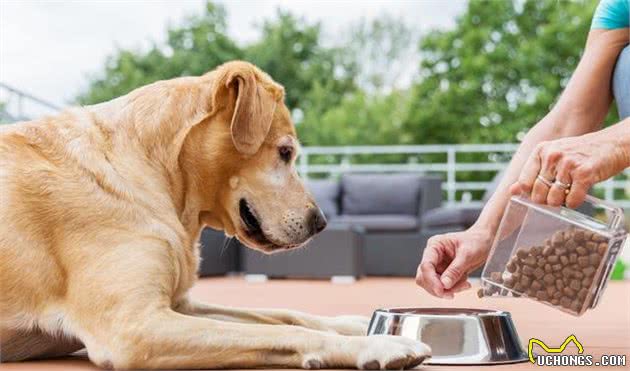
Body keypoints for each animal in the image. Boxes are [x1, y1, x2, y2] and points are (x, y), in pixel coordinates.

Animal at [0, 61, 430, 370]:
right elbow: (285, 332)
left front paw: (356, 323)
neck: (154, 172)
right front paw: (376, 343)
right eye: (286, 152)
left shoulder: (180, 306)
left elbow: (284, 315)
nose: (321, 222)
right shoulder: (133, 327)